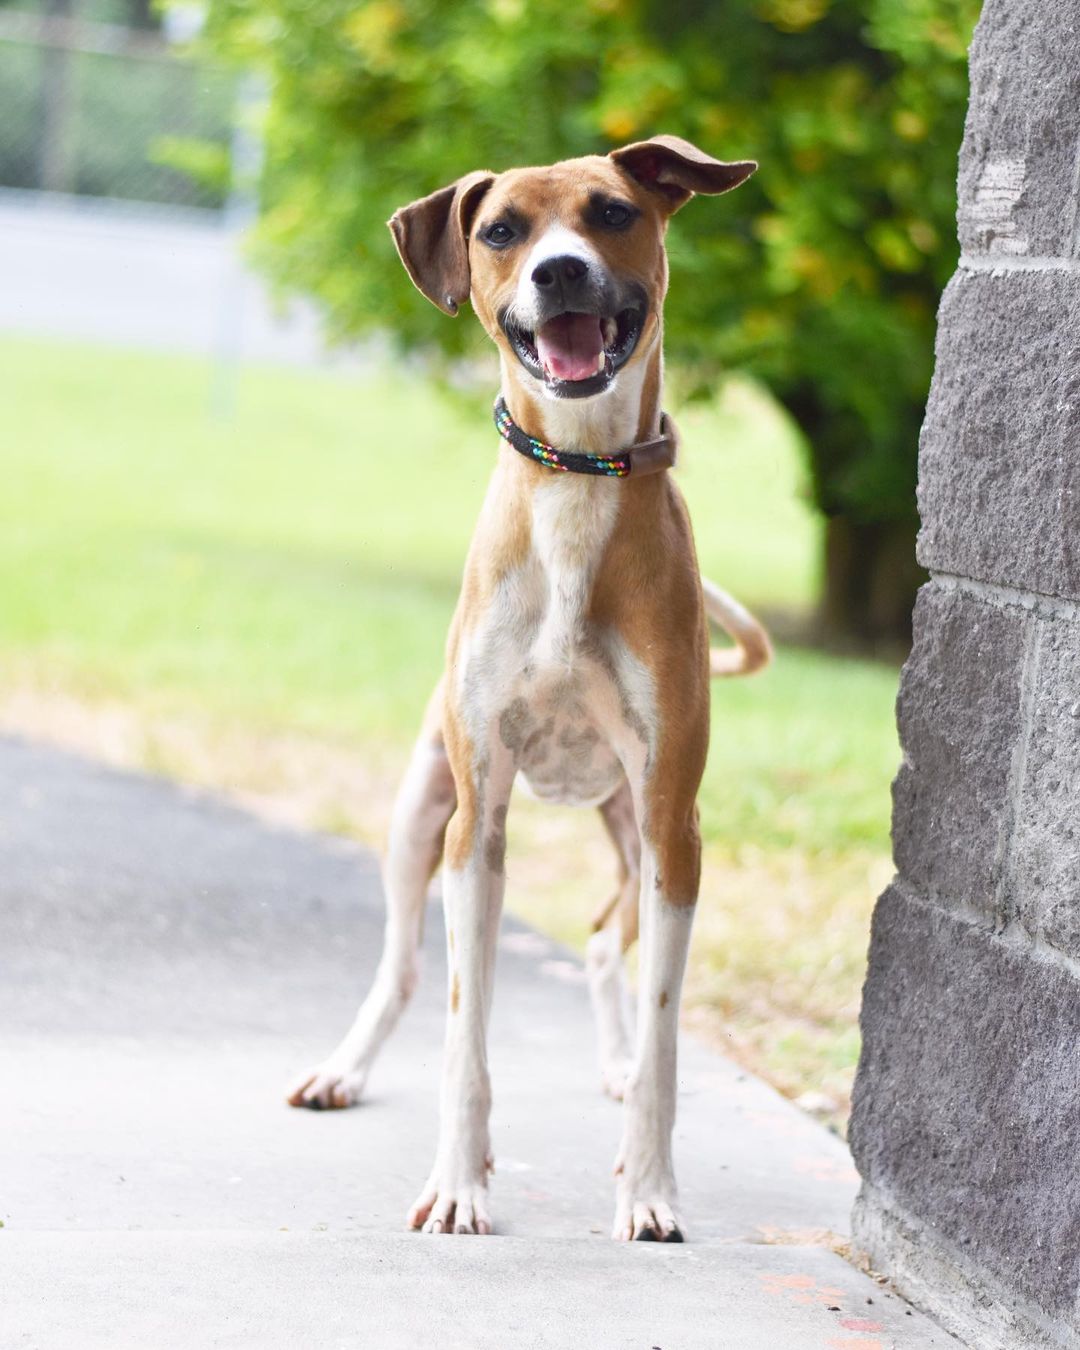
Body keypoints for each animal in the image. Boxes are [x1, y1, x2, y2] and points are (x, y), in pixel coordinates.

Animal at [286, 137, 766, 1242]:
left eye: (612, 211)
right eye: (502, 229)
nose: (559, 272)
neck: (577, 477)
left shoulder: (676, 824)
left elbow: (668, 1036)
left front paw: (651, 1189)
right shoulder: (479, 822)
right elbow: (466, 1033)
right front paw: (459, 1184)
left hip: (640, 836)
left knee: (602, 949)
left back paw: (617, 1063)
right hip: (419, 809)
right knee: (406, 966)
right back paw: (344, 1069)